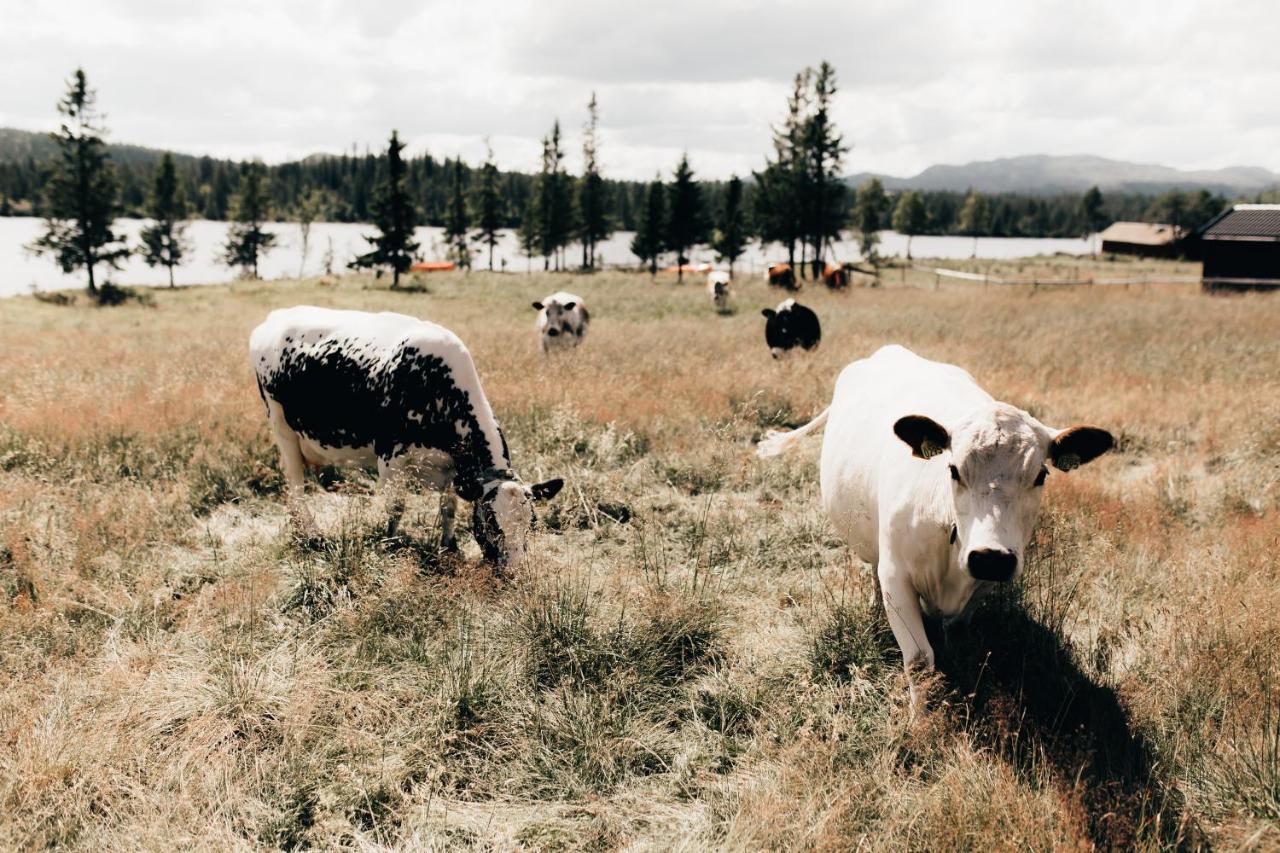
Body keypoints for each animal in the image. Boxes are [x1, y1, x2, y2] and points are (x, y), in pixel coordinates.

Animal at [757, 343, 1111, 701]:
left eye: (1040, 475)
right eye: (953, 470)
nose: (991, 558)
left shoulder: (979, 589)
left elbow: (956, 637)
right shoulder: (896, 578)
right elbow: (919, 661)